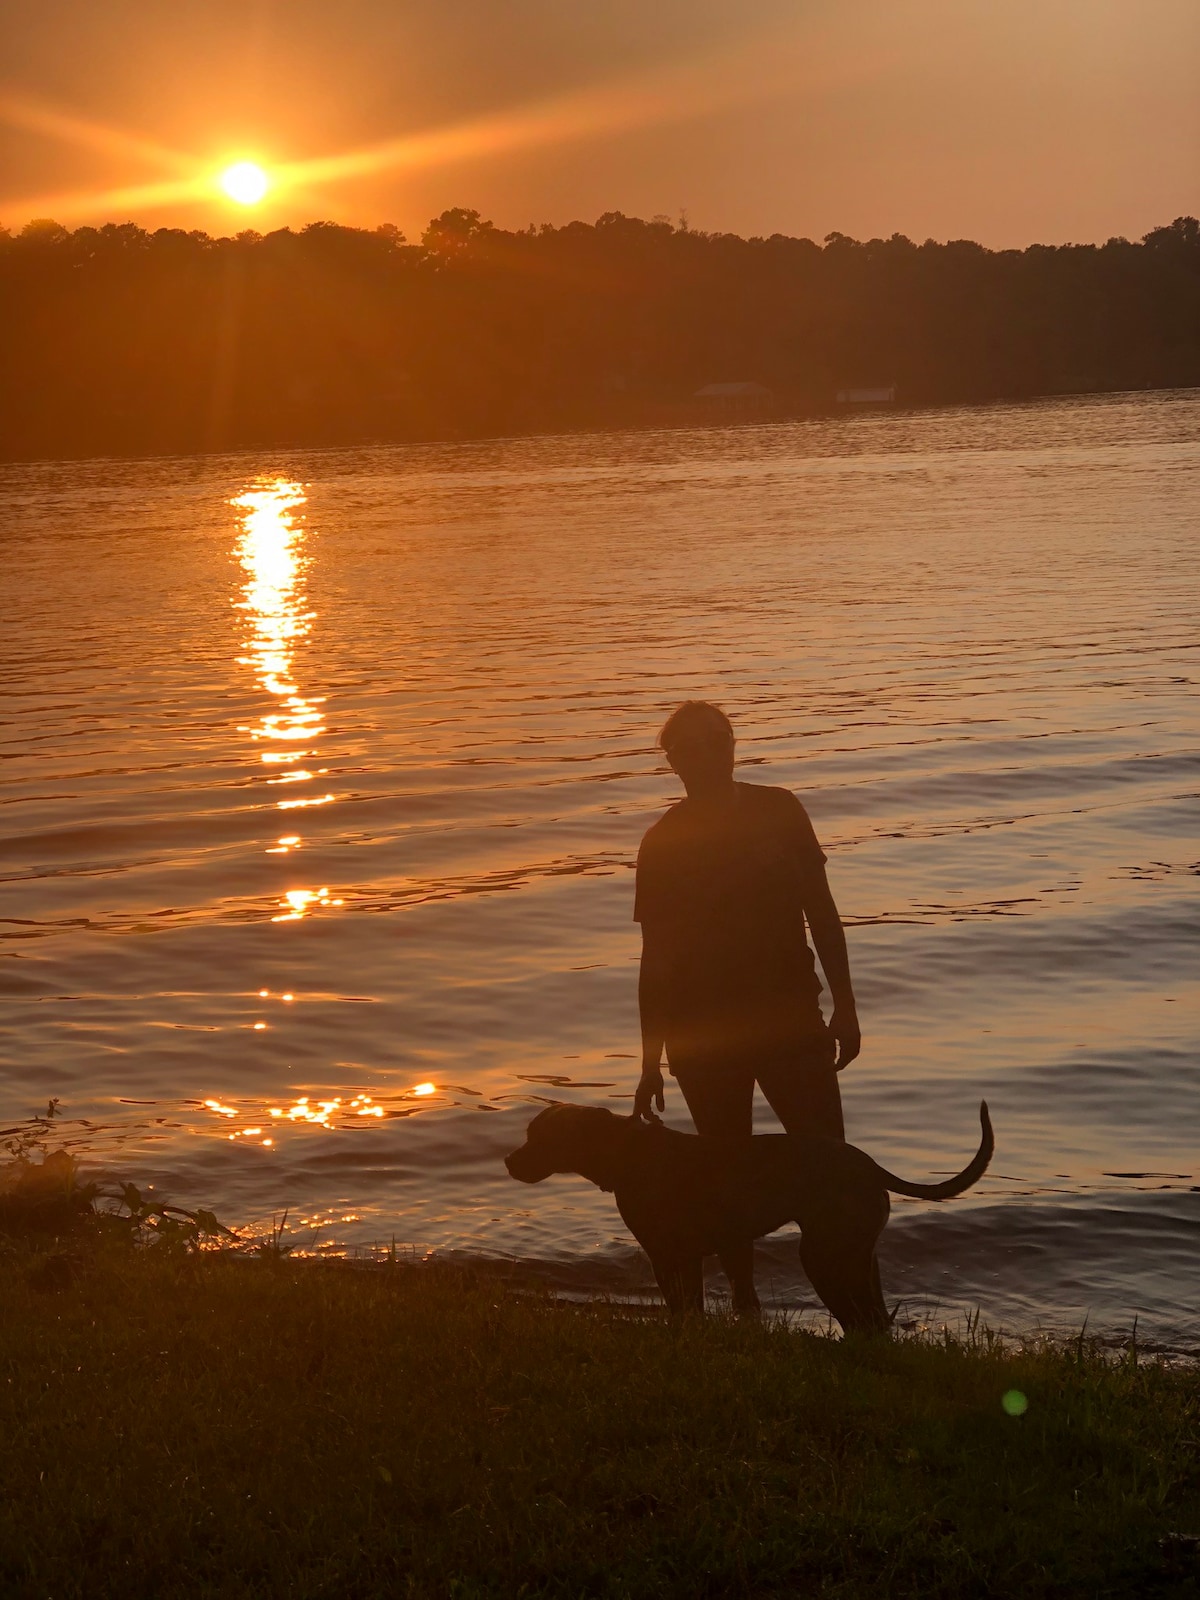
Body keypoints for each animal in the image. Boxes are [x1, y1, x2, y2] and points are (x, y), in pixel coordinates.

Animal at [508, 1107, 998, 1331]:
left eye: (537, 1137)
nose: (510, 1162)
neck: (625, 1152)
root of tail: (870, 1166)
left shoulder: (667, 1256)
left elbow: (680, 1308)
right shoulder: (686, 1258)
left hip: (824, 1256)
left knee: (864, 1320)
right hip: (853, 1255)